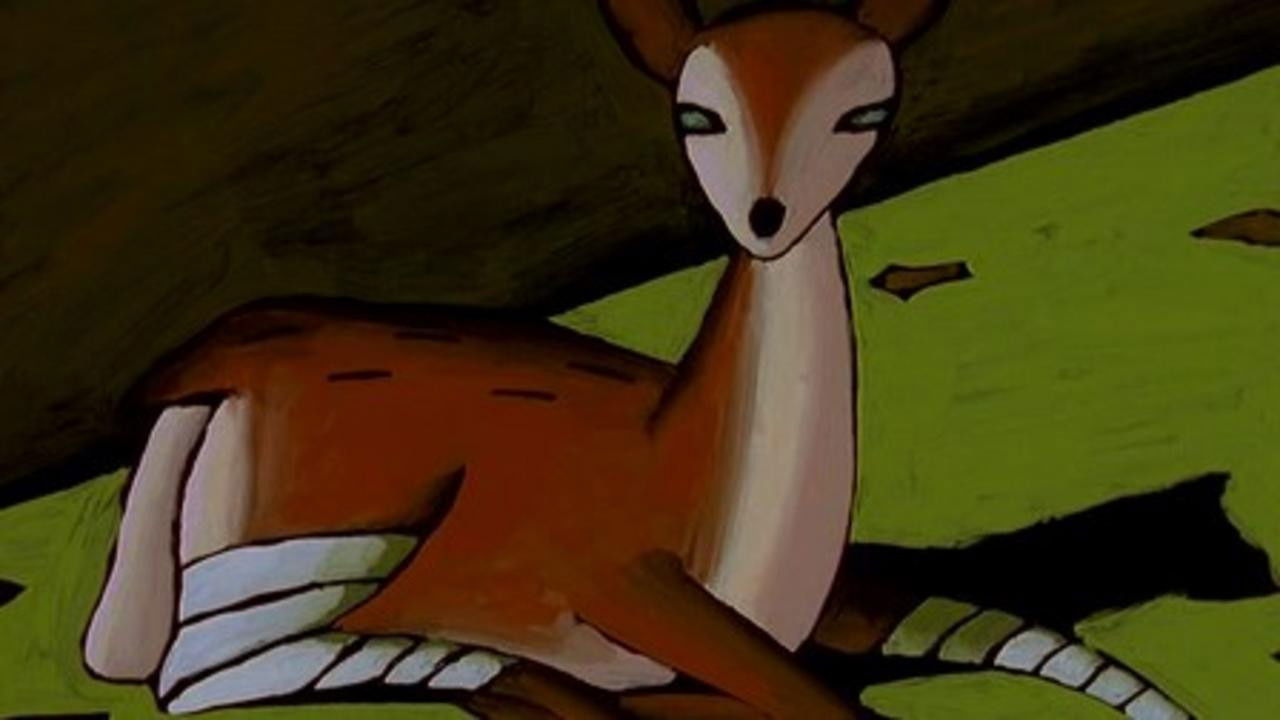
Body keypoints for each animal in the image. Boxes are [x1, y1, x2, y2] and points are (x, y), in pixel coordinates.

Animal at [81, 1, 1193, 719]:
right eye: (695, 113)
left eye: (864, 110)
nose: (765, 216)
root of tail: (193, 384)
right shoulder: (622, 587)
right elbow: (823, 706)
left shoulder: (837, 601)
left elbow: (1005, 629)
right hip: (309, 555)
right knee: (204, 680)